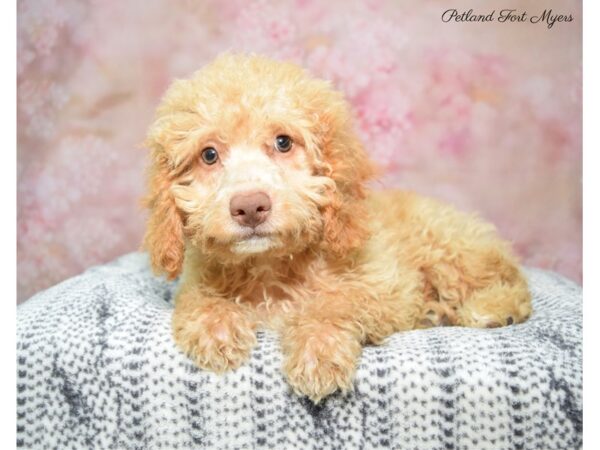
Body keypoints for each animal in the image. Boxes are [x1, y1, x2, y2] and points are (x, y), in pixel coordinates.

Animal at [143, 53, 532, 404]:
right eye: (208, 155)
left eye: (283, 142)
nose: (250, 206)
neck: (269, 266)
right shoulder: (198, 280)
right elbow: (198, 298)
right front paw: (216, 326)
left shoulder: (383, 287)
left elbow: (335, 303)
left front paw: (317, 350)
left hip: (450, 250)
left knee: (514, 282)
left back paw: (494, 308)